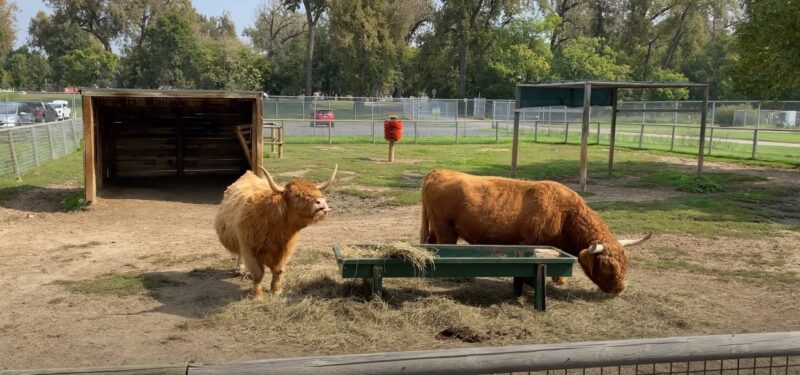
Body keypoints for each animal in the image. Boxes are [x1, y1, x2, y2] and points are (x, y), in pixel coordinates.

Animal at [214, 167, 336, 300]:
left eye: (318, 192)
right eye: (297, 195)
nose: (321, 202)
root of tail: (248, 173)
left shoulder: (286, 249)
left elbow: (278, 270)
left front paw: (277, 290)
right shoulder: (249, 248)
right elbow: (258, 273)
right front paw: (257, 296)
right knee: (239, 254)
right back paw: (239, 269)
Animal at [418, 169, 648, 296]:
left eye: (625, 265)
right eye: (607, 266)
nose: (619, 289)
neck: (566, 215)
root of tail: (438, 172)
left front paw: (560, 281)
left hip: (436, 227)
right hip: (445, 229)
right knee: (444, 246)